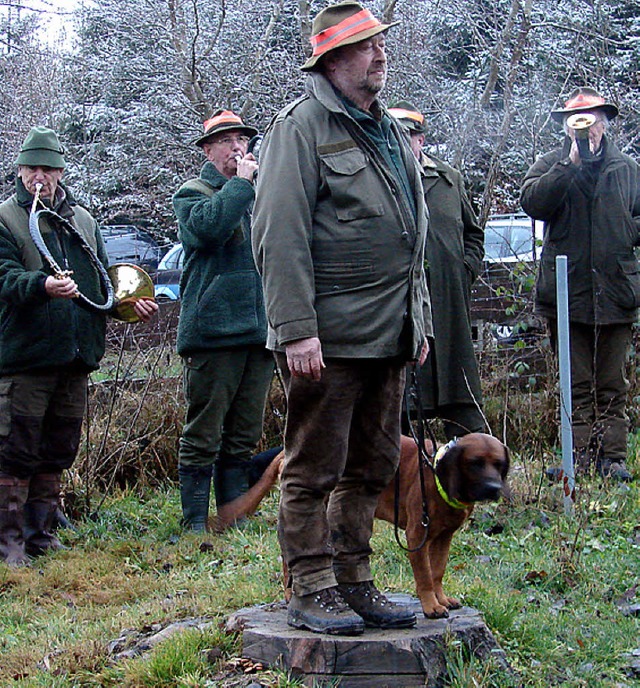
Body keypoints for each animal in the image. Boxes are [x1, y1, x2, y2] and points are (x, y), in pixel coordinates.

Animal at [376, 432, 510, 616]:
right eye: (475, 463)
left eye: (499, 464)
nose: (493, 488)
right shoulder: (417, 535)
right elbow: (425, 575)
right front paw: (431, 605)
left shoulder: (444, 537)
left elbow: (437, 572)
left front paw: (441, 599)